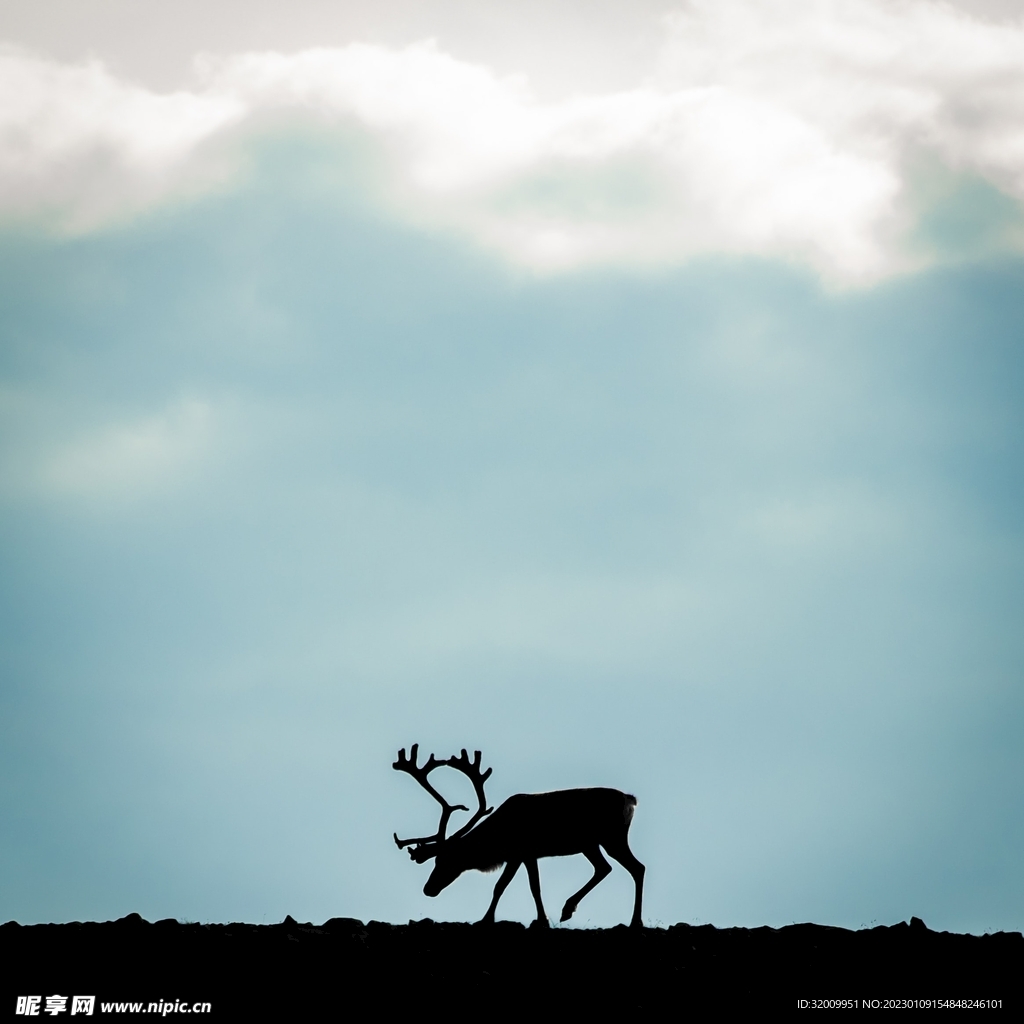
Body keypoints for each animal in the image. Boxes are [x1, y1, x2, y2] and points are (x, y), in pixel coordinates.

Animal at [392, 745, 645, 929]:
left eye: (448, 859)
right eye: (435, 860)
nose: (428, 889)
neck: (497, 839)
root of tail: (630, 799)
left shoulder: (521, 852)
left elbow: (514, 886)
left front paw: (492, 919)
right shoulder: (521, 856)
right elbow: (514, 886)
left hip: (612, 838)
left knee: (637, 868)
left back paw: (634, 921)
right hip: (590, 844)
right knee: (604, 868)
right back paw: (568, 908)